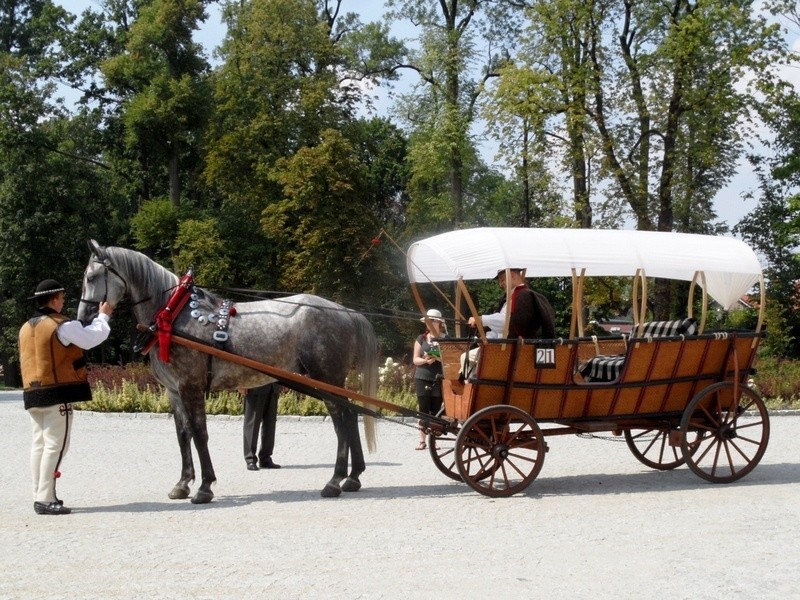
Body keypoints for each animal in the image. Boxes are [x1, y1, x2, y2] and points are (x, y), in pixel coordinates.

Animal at [78, 239, 378, 502]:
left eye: (91, 277)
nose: (83, 318)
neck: (173, 314)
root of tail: (346, 312)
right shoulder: (174, 391)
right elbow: (183, 434)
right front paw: (183, 483)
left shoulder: (191, 386)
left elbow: (200, 433)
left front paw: (204, 487)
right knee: (350, 416)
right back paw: (353, 477)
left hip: (327, 377)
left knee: (341, 420)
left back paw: (335, 480)